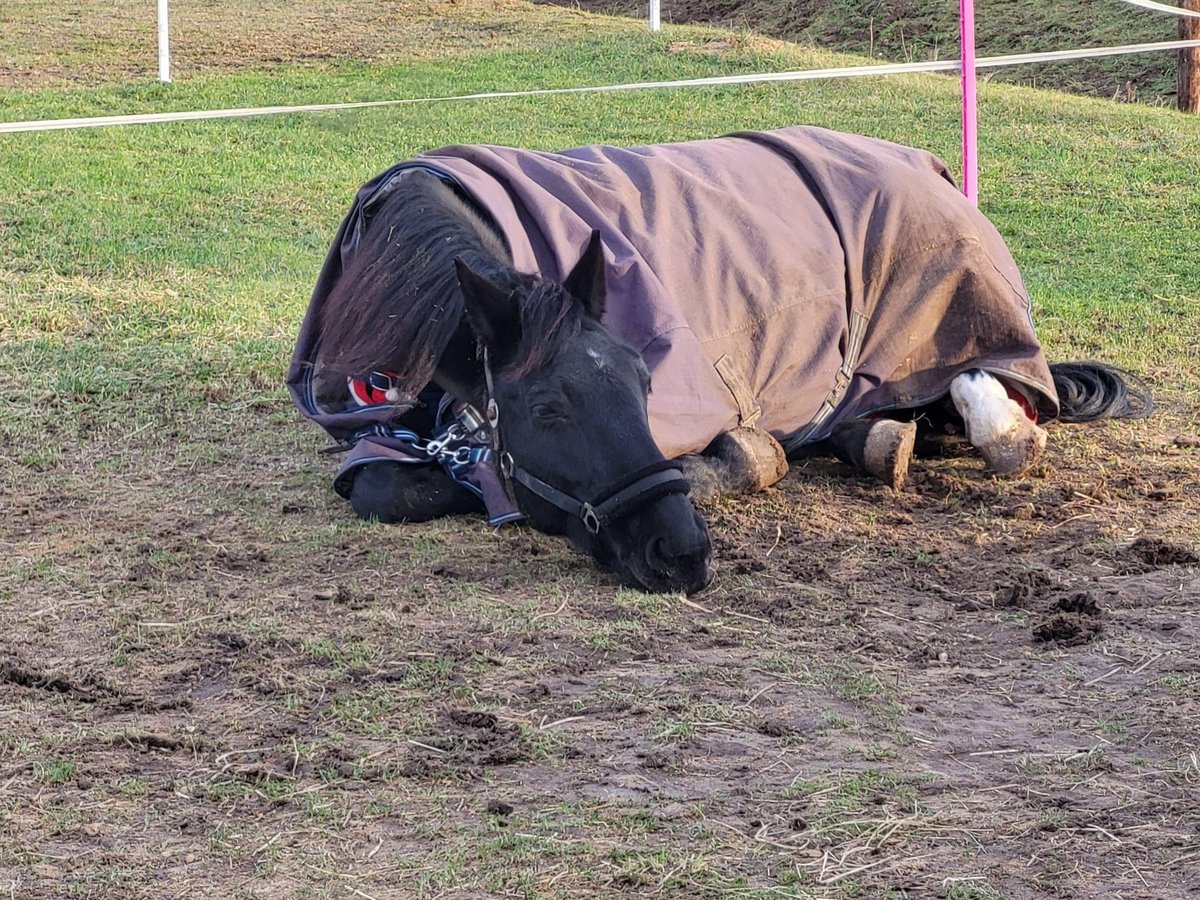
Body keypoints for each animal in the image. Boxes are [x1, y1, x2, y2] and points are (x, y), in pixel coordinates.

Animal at [285, 127, 1147, 595]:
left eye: (646, 383)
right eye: (549, 409)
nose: (682, 554)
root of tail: (932, 170)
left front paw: (738, 459)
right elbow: (389, 488)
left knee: (989, 394)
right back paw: (878, 439)